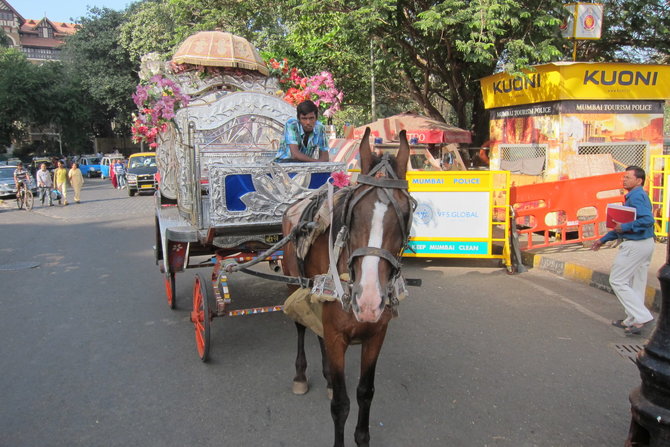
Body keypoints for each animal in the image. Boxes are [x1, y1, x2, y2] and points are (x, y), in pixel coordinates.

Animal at [280, 127, 414, 447]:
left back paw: (327, 376)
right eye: (354, 215)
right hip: (294, 285)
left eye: (405, 214)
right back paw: (301, 376)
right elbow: (341, 405)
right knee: (301, 327)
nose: (369, 302)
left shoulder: (377, 334)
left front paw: (362, 437)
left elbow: (365, 392)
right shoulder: (336, 334)